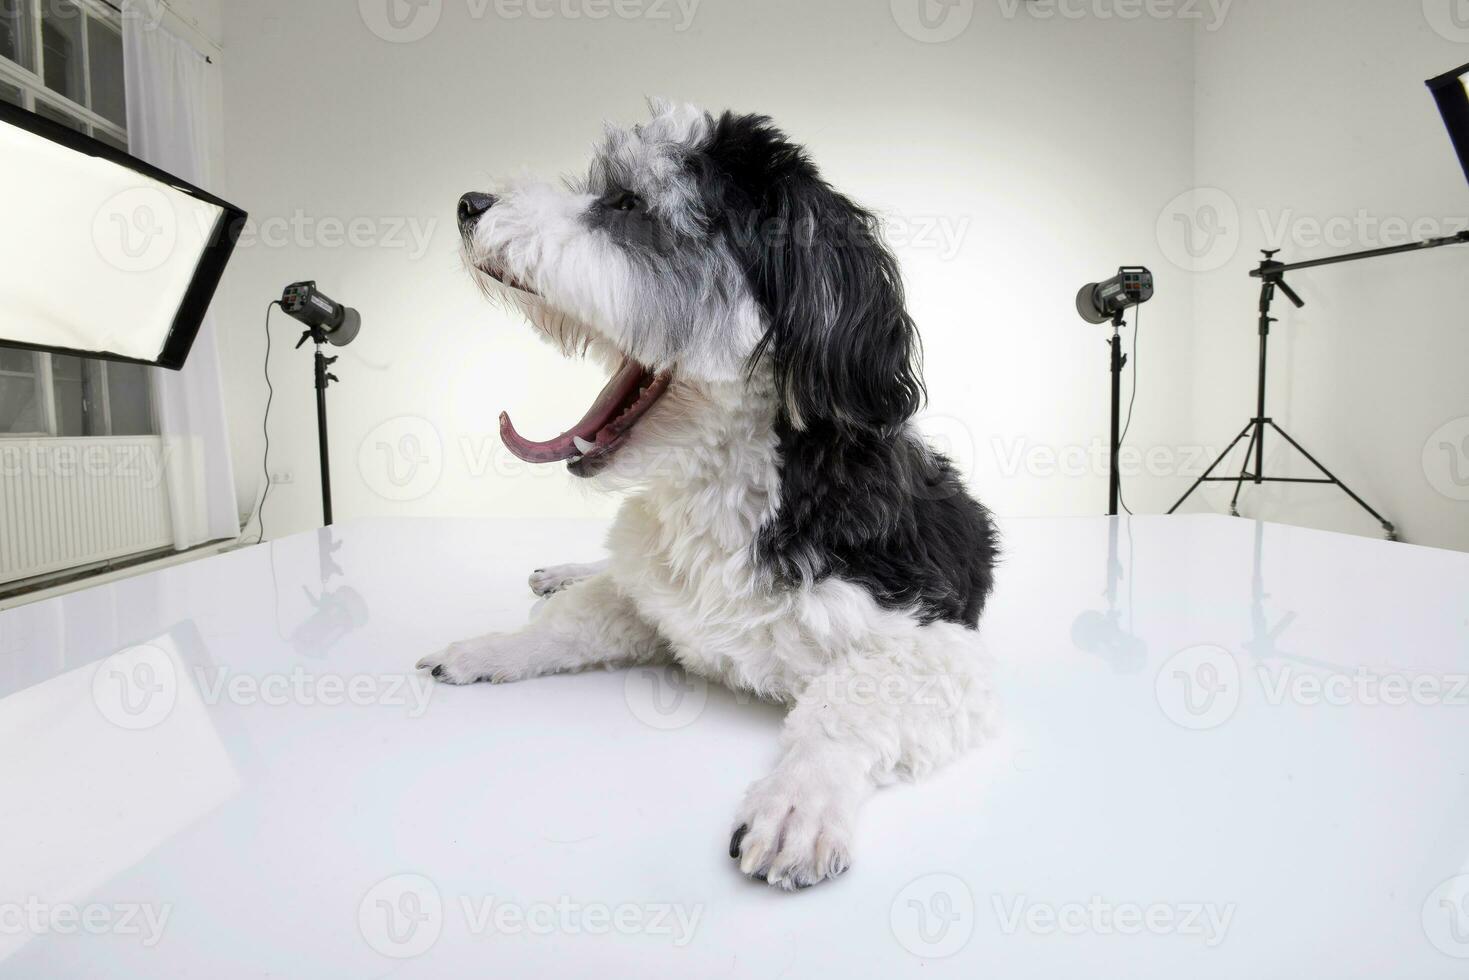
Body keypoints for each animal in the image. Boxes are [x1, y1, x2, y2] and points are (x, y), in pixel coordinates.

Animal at [420, 103, 1004, 893]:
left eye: (628, 204)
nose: (469, 203)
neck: (723, 489)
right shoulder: (653, 599)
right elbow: (575, 620)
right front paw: (493, 647)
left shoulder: (938, 648)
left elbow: (843, 705)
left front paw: (800, 801)